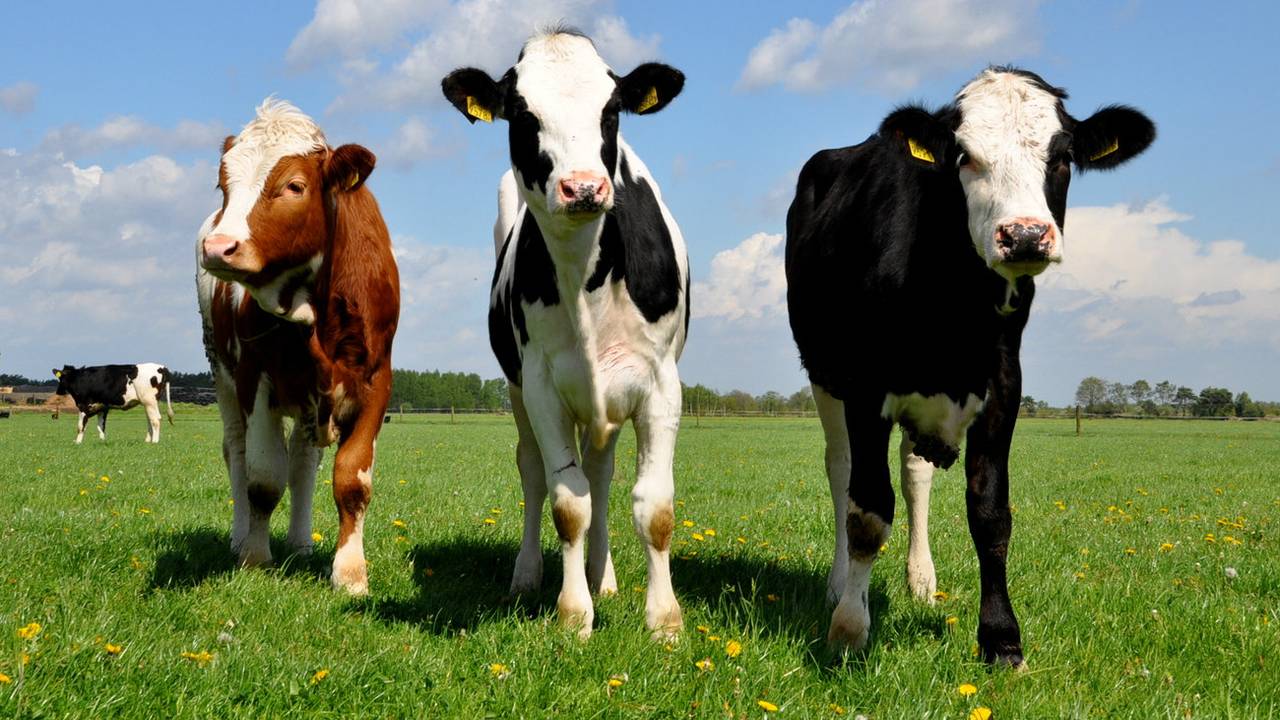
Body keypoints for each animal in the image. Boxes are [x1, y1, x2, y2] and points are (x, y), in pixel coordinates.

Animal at [196, 99, 400, 594]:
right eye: (223, 184)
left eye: (294, 186)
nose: (218, 247)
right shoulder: (255, 377)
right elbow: (263, 477)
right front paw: (254, 557)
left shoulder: (376, 381)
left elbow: (351, 479)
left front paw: (350, 573)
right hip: (222, 377)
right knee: (237, 452)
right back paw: (240, 536)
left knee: (304, 463)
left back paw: (301, 542)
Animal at [441, 28, 690, 639]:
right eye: (522, 114)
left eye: (612, 109)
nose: (582, 188)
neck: (585, 280)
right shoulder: (542, 387)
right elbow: (568, 502)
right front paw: (574, 613)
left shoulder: (661, 385)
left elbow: (654, 507)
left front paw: (664, 620)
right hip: (518, 393)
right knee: (535, 472)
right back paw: (530, 574)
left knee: (601, 473)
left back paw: (605, 576)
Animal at [785, 67, 1154, 666]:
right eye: (963, 155)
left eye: (1062, 156)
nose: (1025, 235)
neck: (951, 308)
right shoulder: (864, 388)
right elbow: (867, 513)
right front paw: (849, 629)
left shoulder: (1002, 388)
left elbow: (990, 515)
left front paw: (1001, 638)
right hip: (824, 375)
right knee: (840, 471)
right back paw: (840, 586)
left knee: (915, 473)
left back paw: (921, 580)